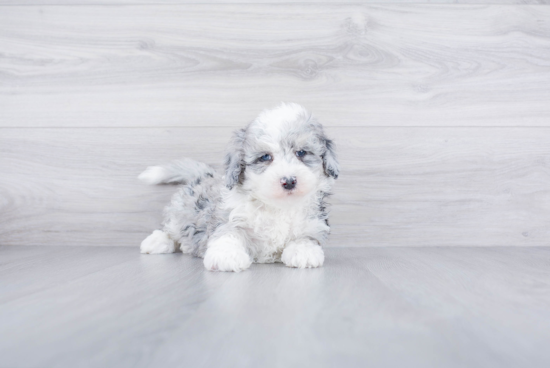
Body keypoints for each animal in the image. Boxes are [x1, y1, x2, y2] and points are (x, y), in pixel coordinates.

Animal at [139, 102, 340, 272]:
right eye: (265, 157)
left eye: (301, 153)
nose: (289, 181)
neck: (278, 207)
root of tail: (205, 175)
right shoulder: (228, 216)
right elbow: (228, 233)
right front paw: (227, 256)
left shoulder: (314, 224)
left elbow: (307, 238)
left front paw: (304, 252)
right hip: (180, 213)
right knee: (170, 229)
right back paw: (156, 241)